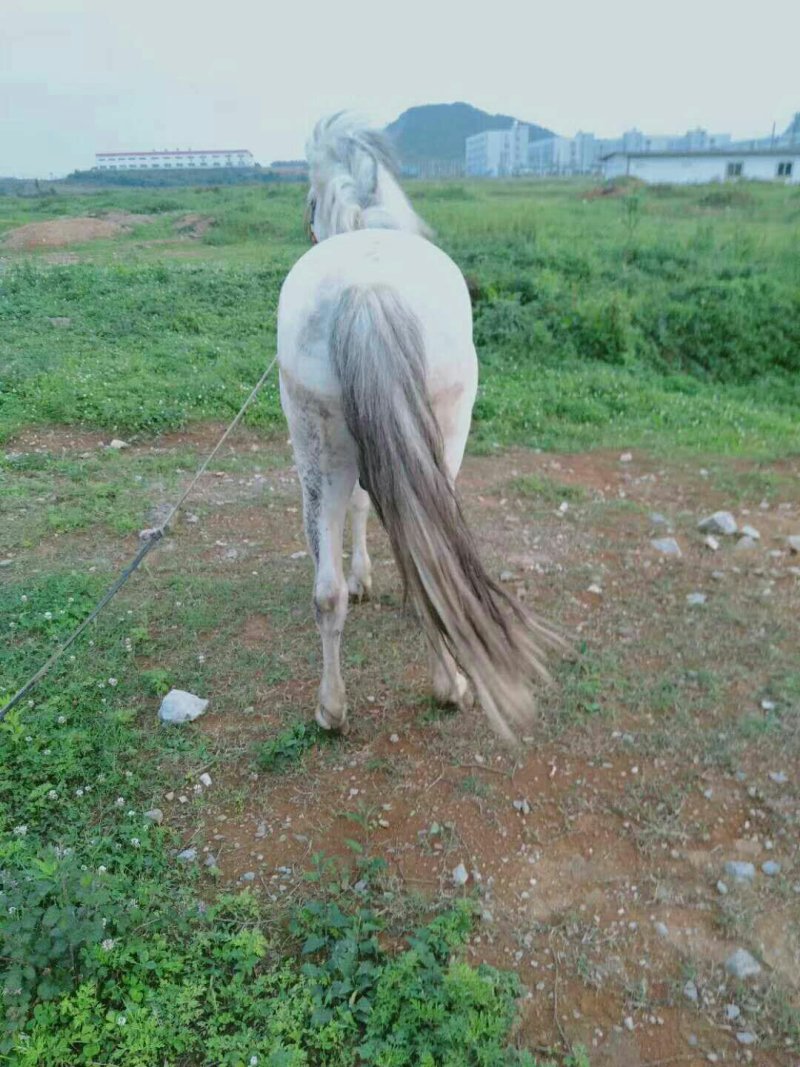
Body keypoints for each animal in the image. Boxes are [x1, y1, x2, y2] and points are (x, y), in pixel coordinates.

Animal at [276, 113, 561, 741]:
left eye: (308, 201)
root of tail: (368, 289)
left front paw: (360, 580)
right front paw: (367, 579)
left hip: (319, 455)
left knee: (325, 592)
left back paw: (332, 710)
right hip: (443, 441)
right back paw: (446, 688)